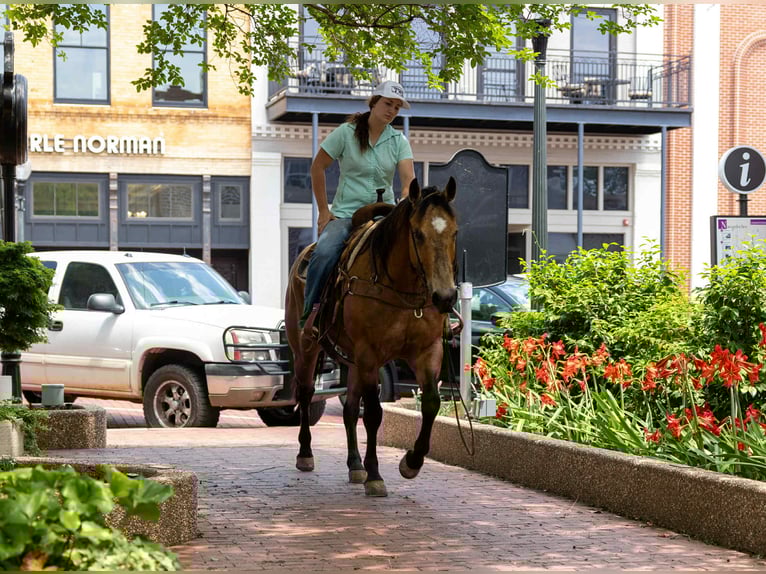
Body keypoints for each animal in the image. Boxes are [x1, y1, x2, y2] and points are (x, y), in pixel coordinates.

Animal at [284, 176, 458, 496]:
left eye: (454, 232)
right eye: (418, 234)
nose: (445, 297)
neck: (401, 288)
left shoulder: (428, 351)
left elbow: (431, 403)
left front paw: (411, 462)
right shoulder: (370, 354)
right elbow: (375, 413)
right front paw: (376, 474)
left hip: (353, 361)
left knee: (351, 409)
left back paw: (355, 465)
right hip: (306, 347)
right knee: (306, 393)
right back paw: (306, 454)